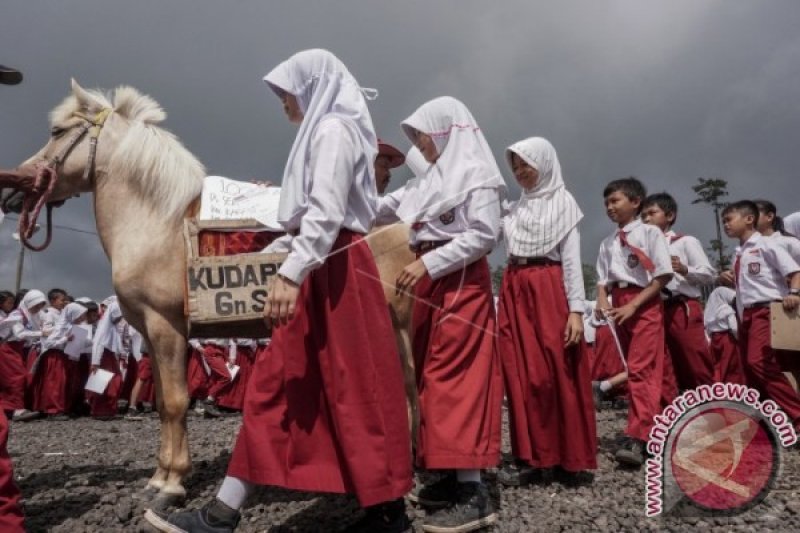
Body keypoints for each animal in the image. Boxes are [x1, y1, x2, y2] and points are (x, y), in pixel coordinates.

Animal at [12, 80, 418, 508]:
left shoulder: (166, 326)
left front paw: (173, 483)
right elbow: (162, 403)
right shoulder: (150, 333)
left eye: (57, 132)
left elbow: (176, 402)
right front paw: (158, 477)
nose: (17, 189)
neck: (158, 225)